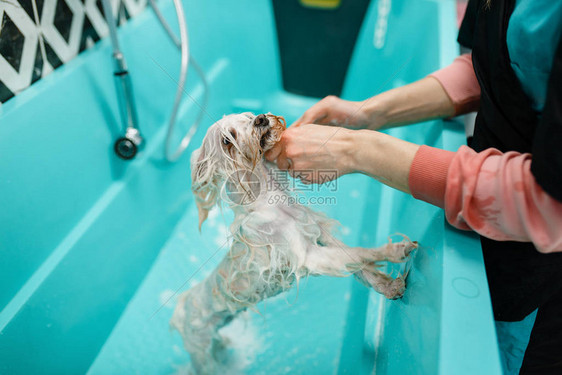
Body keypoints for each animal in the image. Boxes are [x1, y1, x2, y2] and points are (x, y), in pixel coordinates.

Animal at [168, 113, 414, 374]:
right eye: (227, 139)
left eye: (247, 116)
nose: (260, 119)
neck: (272, 200)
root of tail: (181, 307)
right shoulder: (307, 255)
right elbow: (359, 254)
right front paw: (394, 251)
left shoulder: (319, 234)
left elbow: (358, 264)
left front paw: (389, 287)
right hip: (201, 350)